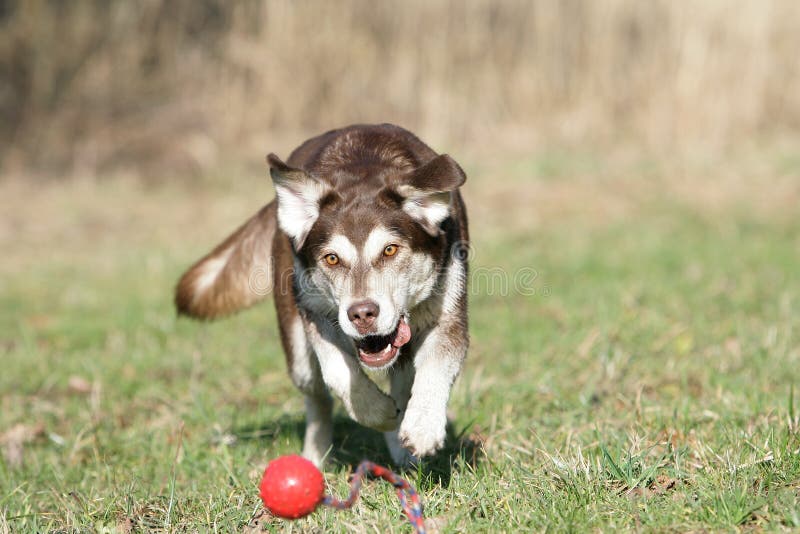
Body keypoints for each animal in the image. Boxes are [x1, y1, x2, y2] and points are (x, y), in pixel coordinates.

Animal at [172, 125, 466, 468]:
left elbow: (435, 366)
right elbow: (338, 371)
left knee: (403, 383)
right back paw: (317, 456)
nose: (362, 314)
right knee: (317, 398)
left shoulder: (449, 314)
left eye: (390, 250)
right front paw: (377, 412)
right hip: (298, 353)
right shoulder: (315, 313)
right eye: (332, 259)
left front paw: (422, 428)